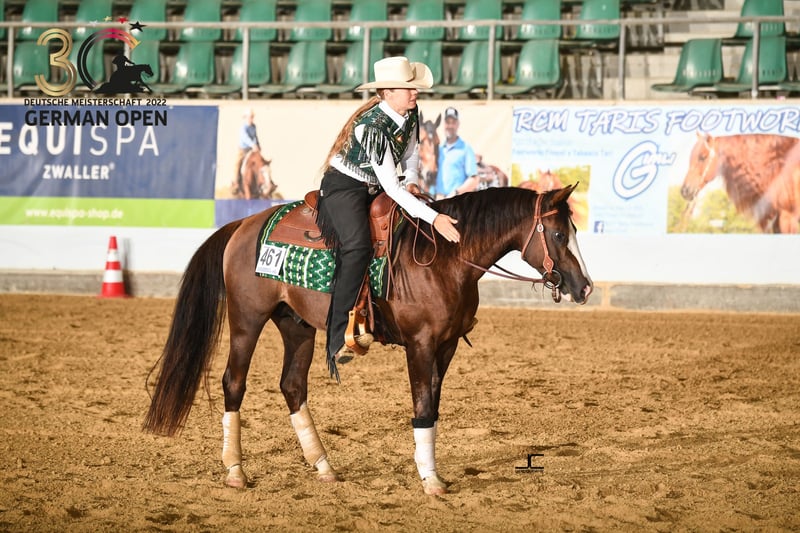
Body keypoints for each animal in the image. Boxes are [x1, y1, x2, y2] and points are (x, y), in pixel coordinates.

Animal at [142, 186, 592, 494]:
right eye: (557, 234)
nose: (584, 287)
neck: (445, 258)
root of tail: (243, 225)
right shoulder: (421, 344)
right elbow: (422, 405)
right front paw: (430, 480)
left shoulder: (446, 347)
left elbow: (433, 405)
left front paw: (430, 469)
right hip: (246, 320)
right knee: (233, 383)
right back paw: (235, 470)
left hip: (296, 325)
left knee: (292, 386)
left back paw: (323, 465)